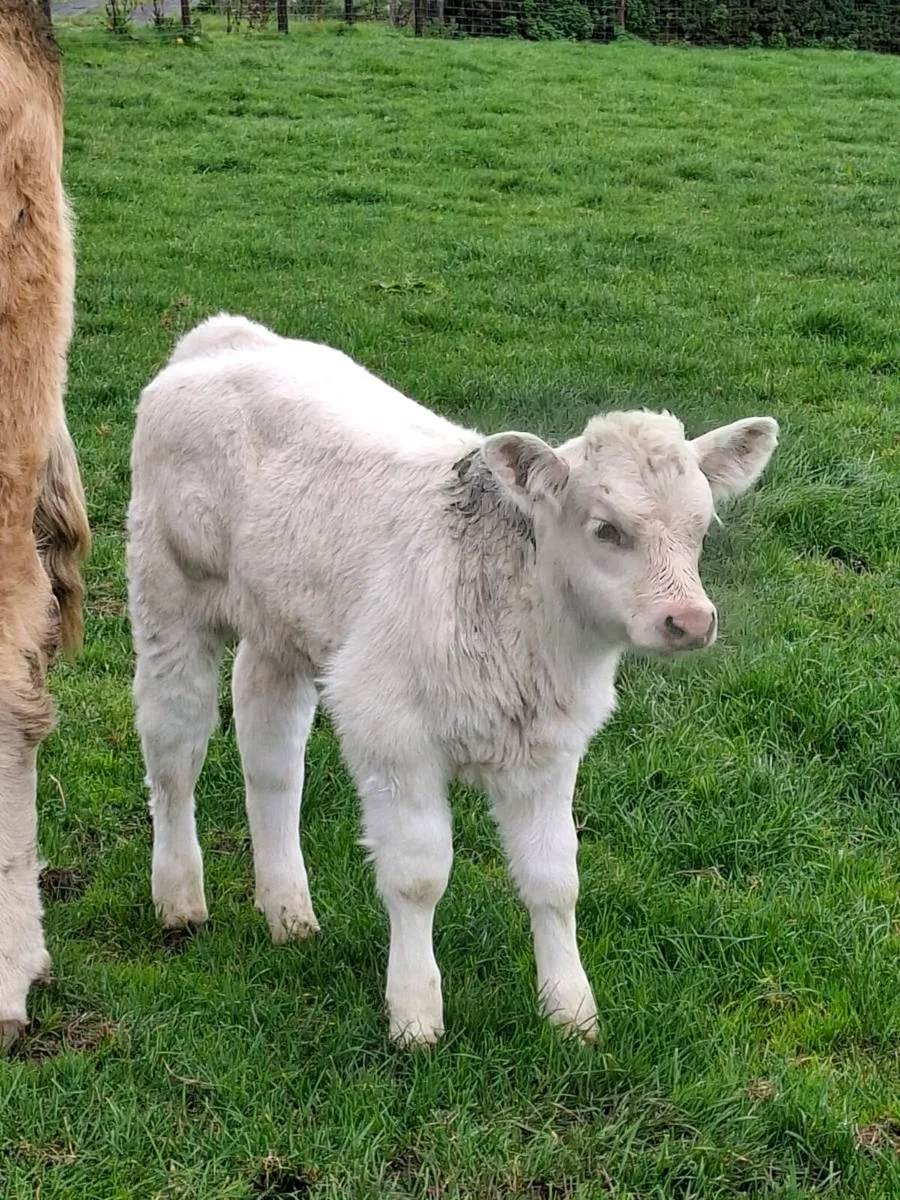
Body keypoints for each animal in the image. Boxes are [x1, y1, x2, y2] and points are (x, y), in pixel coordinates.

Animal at [127, 313, 777, 1046]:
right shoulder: (391, 731)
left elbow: (555, 876)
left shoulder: (550, 749)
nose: (689, 621)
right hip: (167, 594)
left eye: (701, 525)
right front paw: (415, 1012)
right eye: (606, 529)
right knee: (174, 751)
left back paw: (288, 912)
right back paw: (180, 897)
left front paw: (571, 1011)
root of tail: (219, 337)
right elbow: (418, 877)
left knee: (271, 754)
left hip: (280, 620)